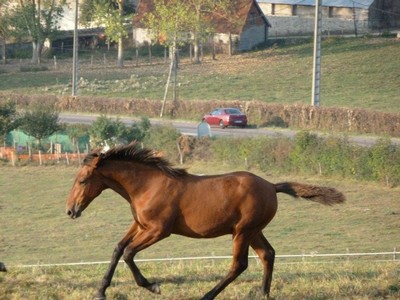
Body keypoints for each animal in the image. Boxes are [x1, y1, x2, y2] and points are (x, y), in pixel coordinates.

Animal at [65, 142, 344, 298]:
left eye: (83, 180)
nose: (70, 210)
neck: (148, 185)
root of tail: (271, 187)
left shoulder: (158, 230)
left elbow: (129, 253)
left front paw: (153, 286)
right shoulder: (140, 225)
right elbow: (118, 249)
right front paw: (100, 291)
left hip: (242, 232)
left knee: (239, 264)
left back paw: (207, 296)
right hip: (254, 231)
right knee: (268, 254)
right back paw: (263, 294)